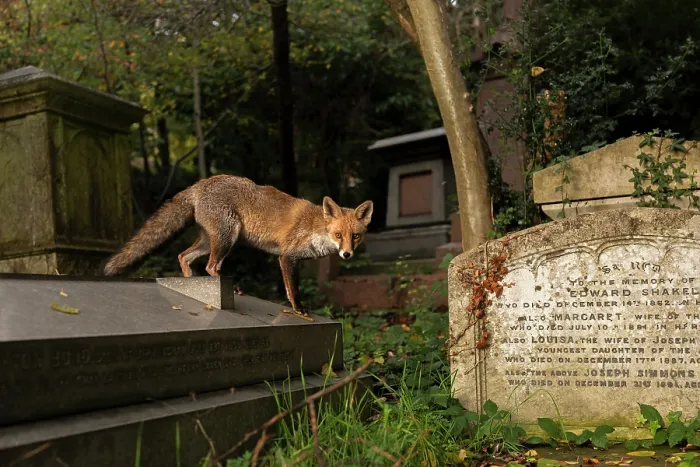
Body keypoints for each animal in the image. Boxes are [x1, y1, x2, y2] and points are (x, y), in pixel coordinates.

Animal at [103, 175, 373, 315]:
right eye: (338, 234)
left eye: (355, 236)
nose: (347, 254)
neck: (317, 227)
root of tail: (201, 182)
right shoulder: (287, 256)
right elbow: (292, 290)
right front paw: (299, 310)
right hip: (227, 238)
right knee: (211, 267)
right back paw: (225, 289)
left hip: (211, 241)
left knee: (183, 256)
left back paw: (191, 283)